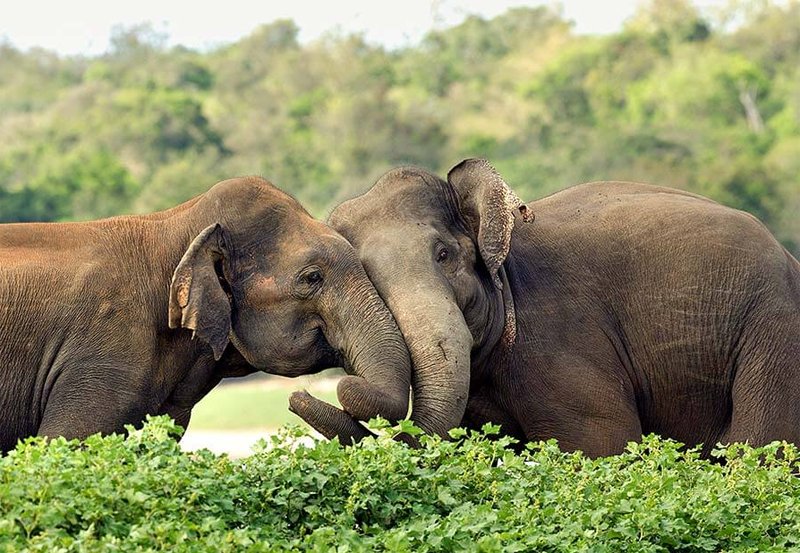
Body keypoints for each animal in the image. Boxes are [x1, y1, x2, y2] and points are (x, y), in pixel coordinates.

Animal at [298, 159, 800, 458]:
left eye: (444, 254)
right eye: (368, 278)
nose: (303, 394)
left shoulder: (561, 342)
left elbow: (601, 444)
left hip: (774, 332)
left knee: (760, 447)